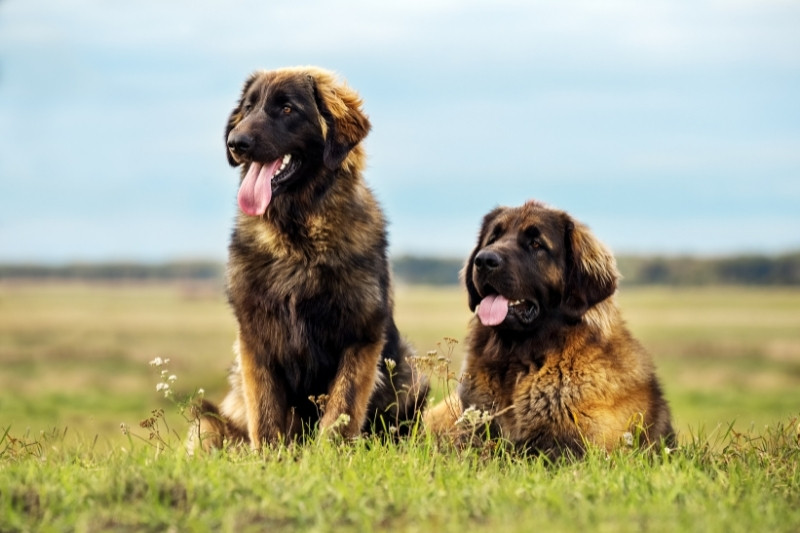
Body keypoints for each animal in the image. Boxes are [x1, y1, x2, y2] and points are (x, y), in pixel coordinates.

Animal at [191, 65, 428, 448]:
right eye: (248, 107)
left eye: (287, 109)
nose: (235, 143)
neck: (298, 241)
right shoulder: (255, 338)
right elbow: (266, 416)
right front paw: (269, 458)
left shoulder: (360, 337)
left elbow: (340, 411)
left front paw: (329, 455)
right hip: (210, 420)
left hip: (408, 372)